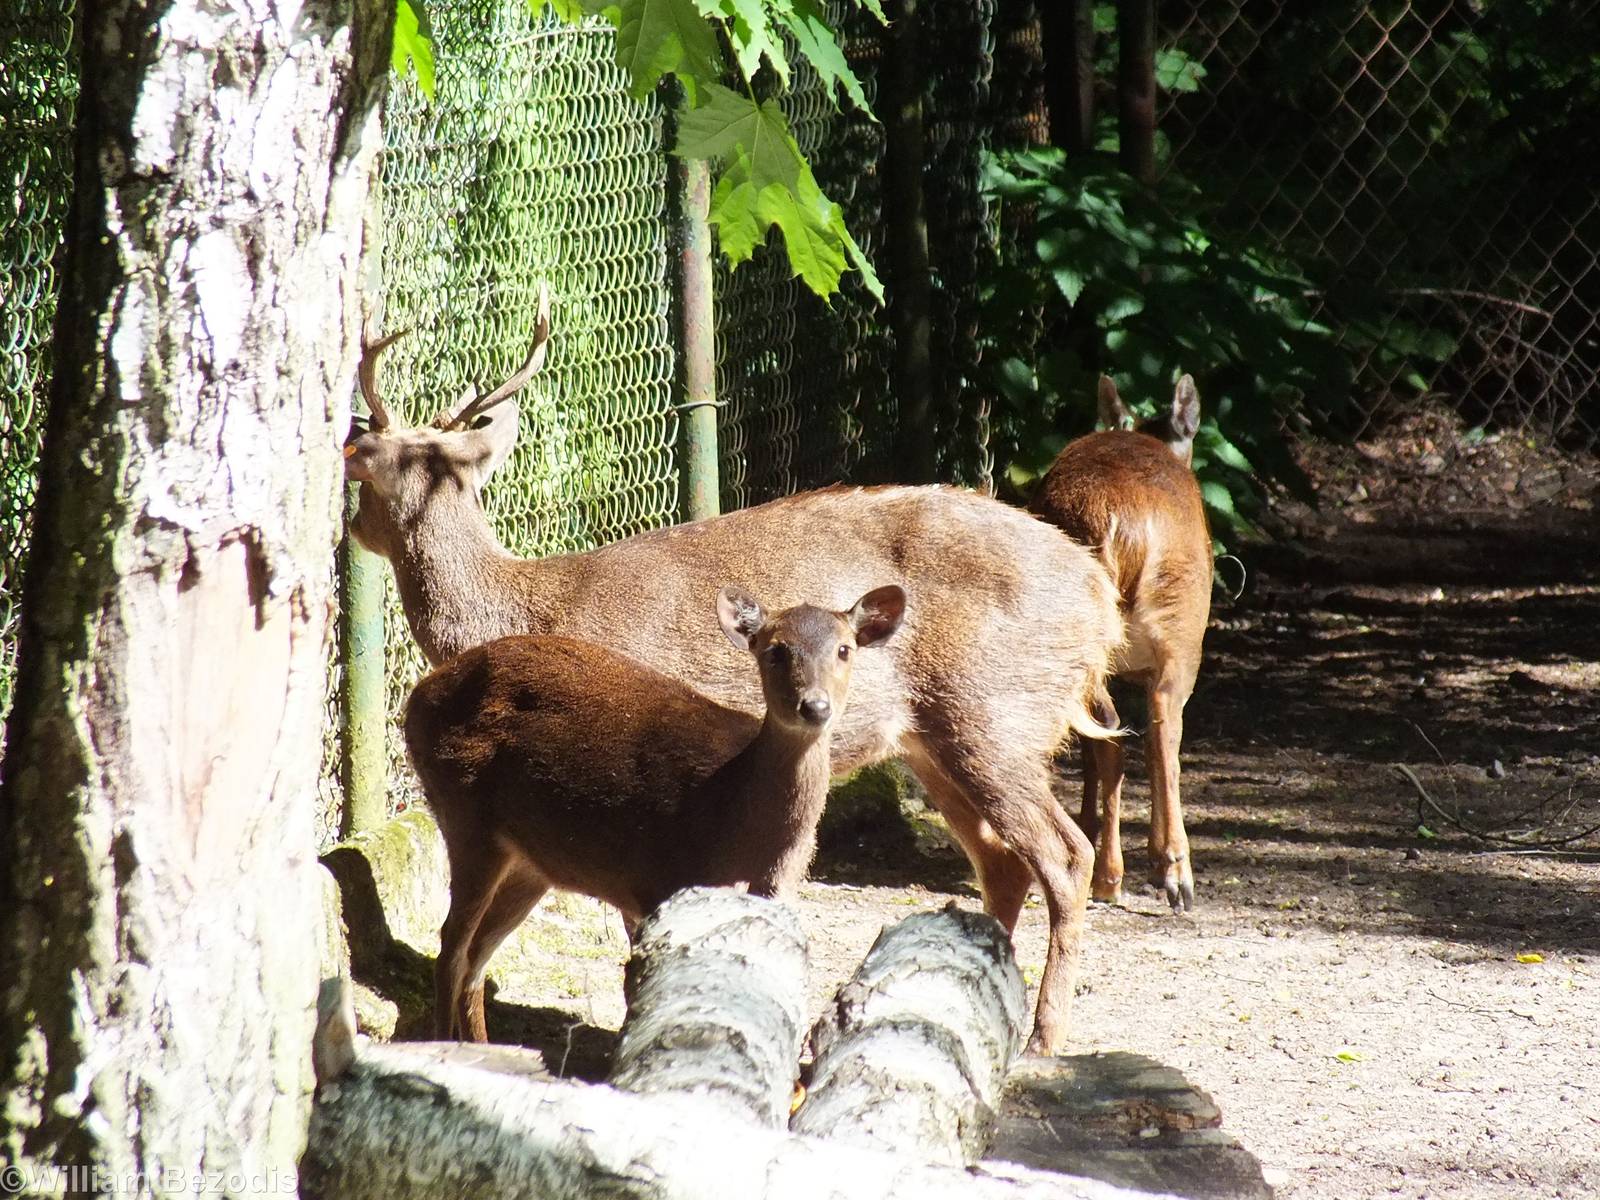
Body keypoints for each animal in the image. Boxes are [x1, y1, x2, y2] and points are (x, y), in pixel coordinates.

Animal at [406, 584, 906, 1041]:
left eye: (844, 648)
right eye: (775, 650)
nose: (814, 706)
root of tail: (416, 696)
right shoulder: (655, 878)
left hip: (533, 863)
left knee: (476, 957)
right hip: (465, 815)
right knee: (451, 947)